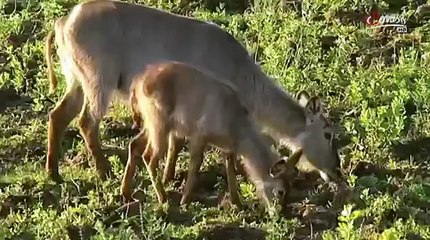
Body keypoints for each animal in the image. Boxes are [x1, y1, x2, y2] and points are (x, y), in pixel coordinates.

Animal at [44, 0, 342, 182]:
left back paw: (53, 173)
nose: (337, 170)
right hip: (99, 84)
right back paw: (104, 172)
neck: (239, 69)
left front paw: (168, 176)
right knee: (86, 122)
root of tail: (64, 20)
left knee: (57, 116)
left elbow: (175, 142)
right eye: (328, 133)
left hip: (76, 81)